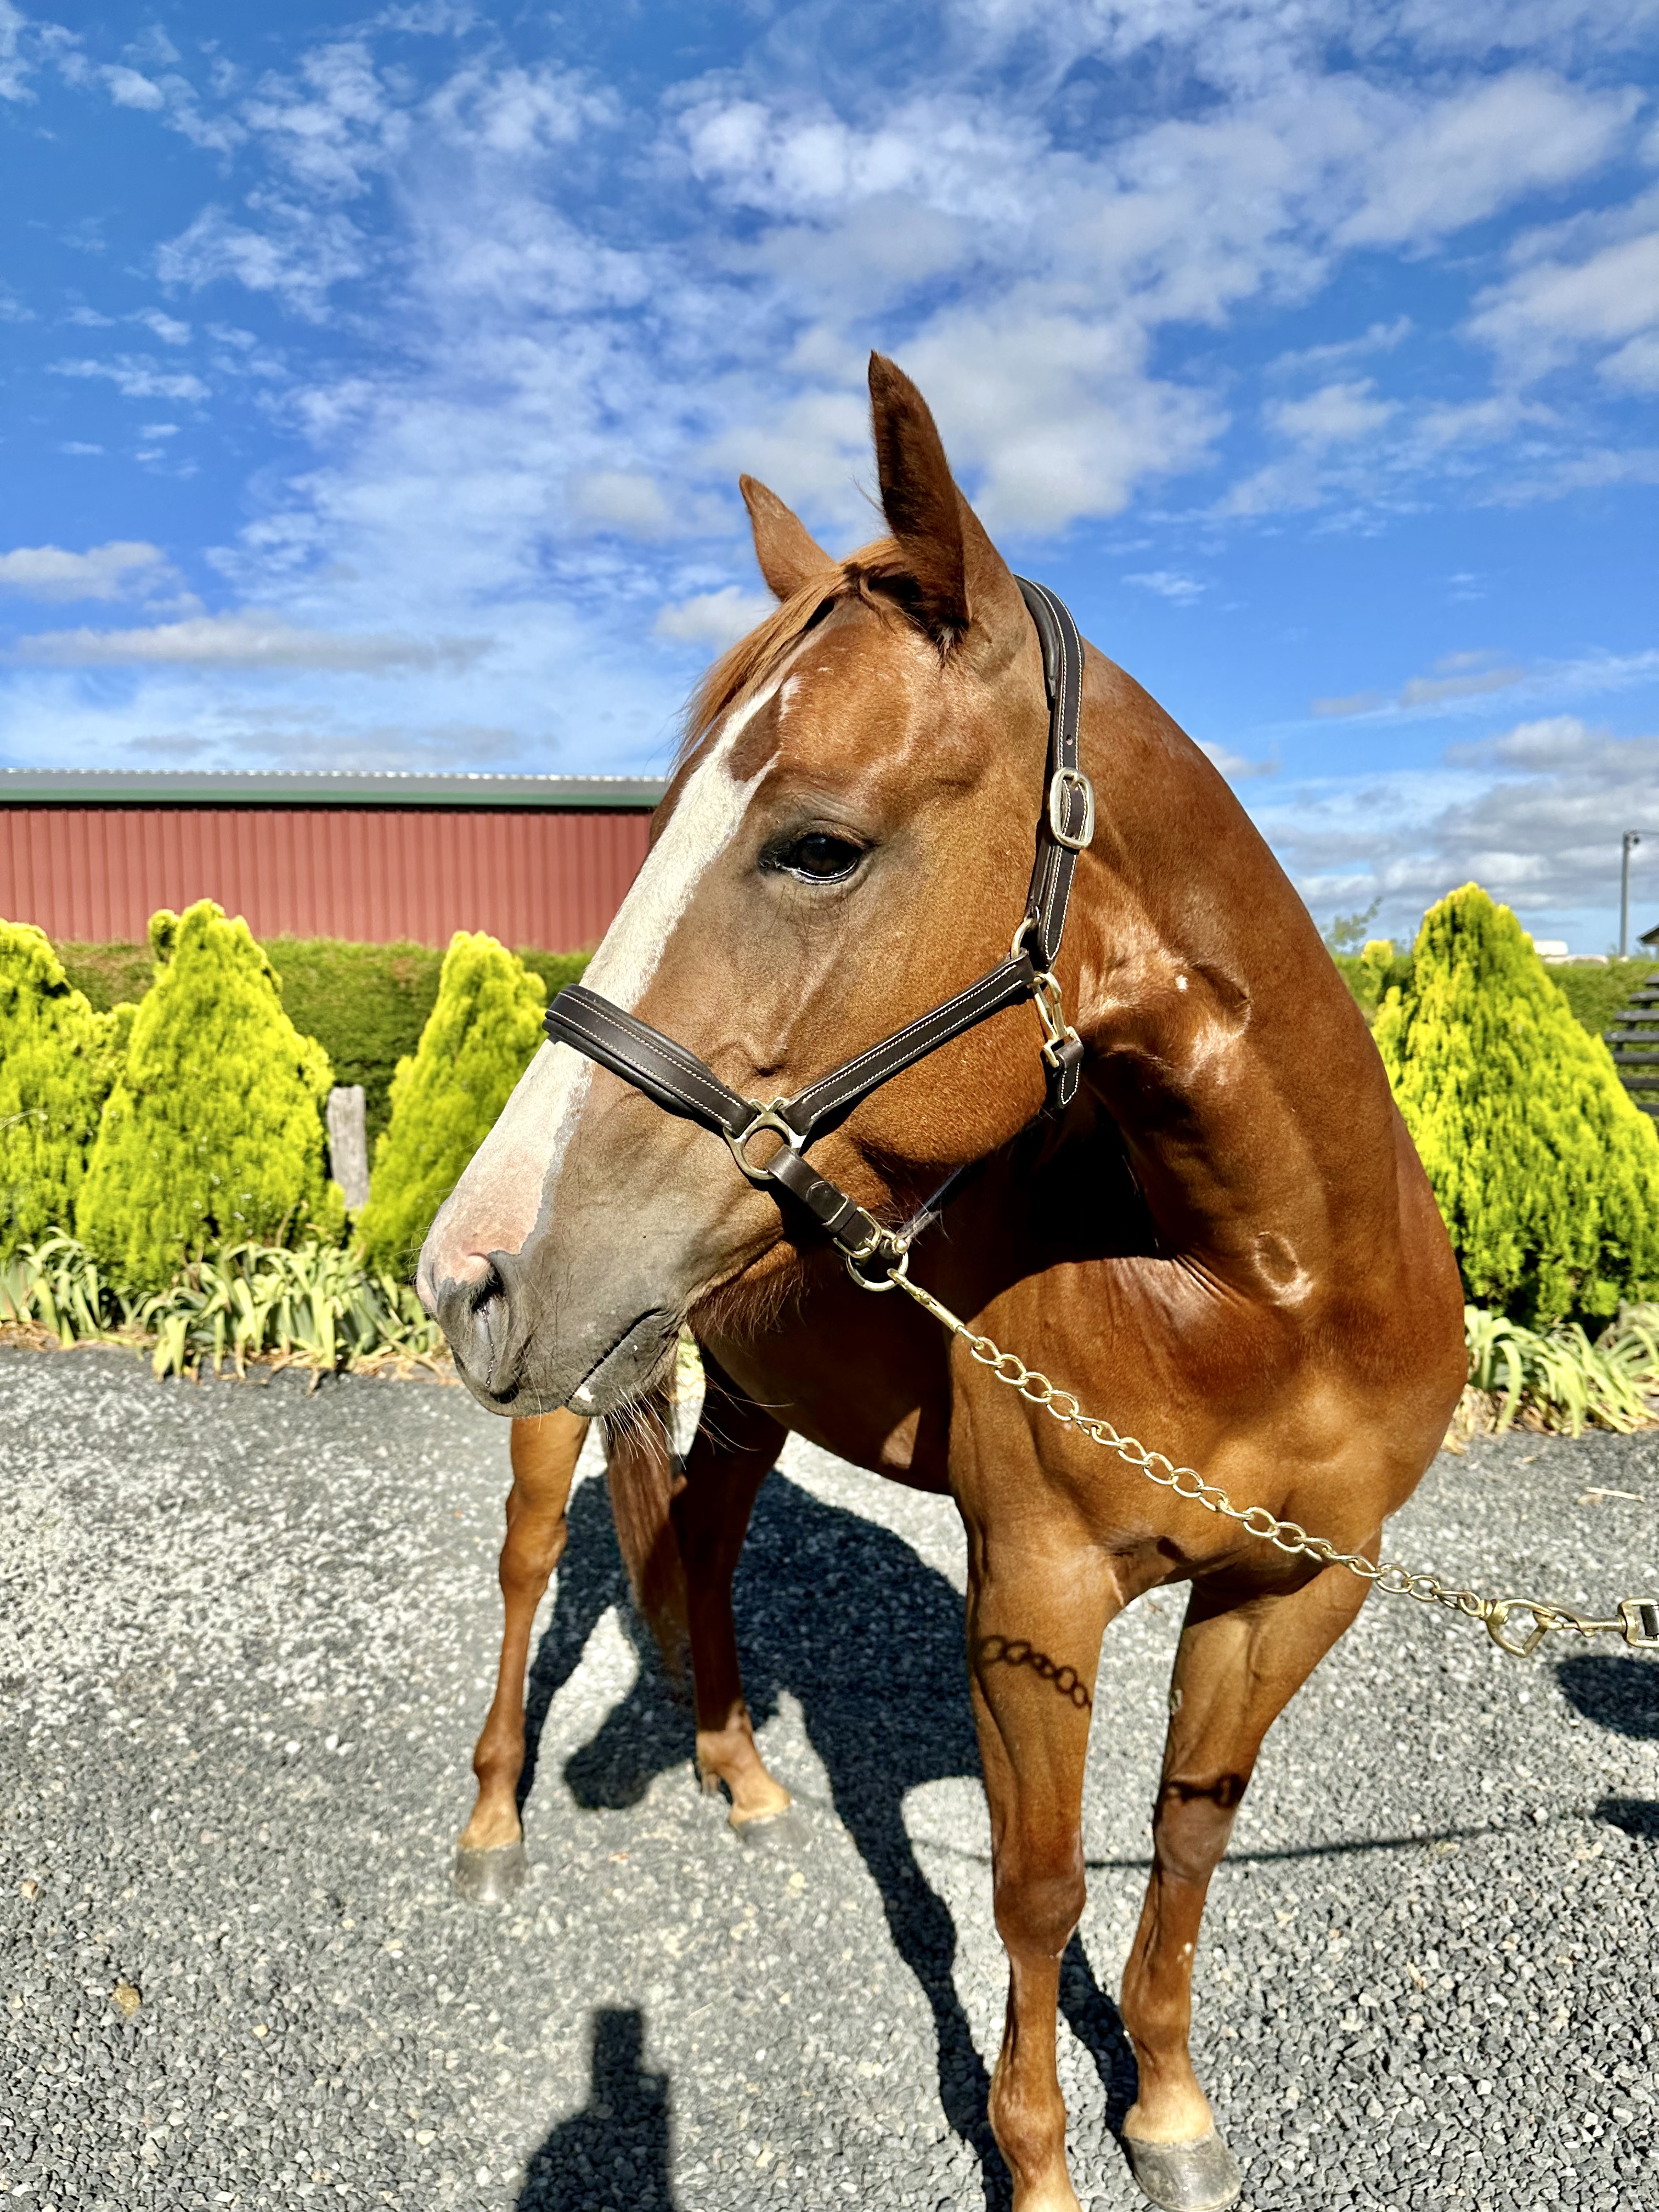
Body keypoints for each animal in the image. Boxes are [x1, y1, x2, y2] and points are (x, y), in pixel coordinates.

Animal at [420, 352, 1467, 2212]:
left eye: (819, 845)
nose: (469, 1268)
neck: (1269, 1296)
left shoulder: (1297, 1590)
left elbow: (1191, 1834)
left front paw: (1168, 2113)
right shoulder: (1036, 1597)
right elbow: (1033, 1895)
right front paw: (1039, 2162)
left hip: (738, 1389)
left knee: (701, 1546)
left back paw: (740, 1775)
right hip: (562, 1416)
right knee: (532, 1573)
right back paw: (493, 1829)